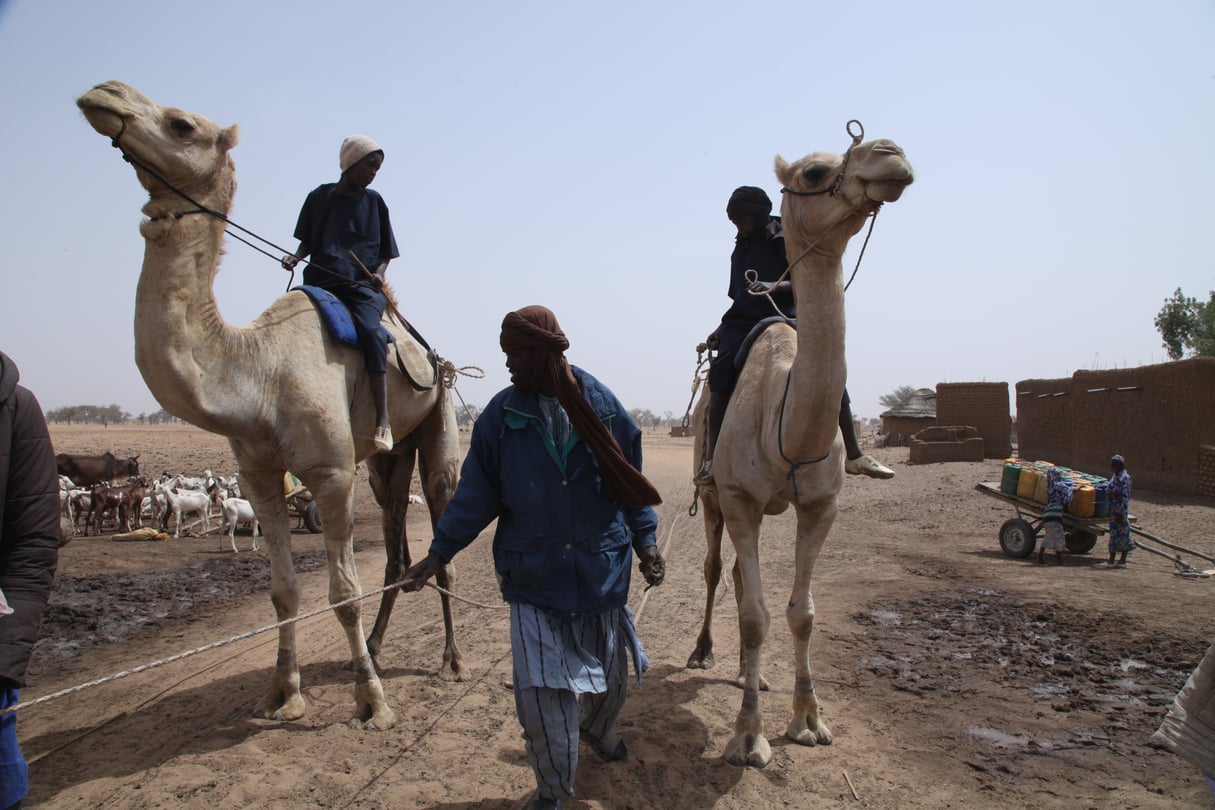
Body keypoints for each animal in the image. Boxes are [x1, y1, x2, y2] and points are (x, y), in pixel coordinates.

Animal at [75, 80, 464, 728]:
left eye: (182, 124)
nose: (105, 95)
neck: (259, 373)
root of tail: (434, 356)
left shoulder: (331, 473)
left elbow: (343, 593)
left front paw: (371, 702)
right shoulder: (257, 474)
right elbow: (284, 591)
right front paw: (284, 693)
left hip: (439, 421)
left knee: (441, 521)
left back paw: (451, 660)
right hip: (385, 461)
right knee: (394, 542)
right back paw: (379, 647)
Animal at [685, 126, 913, 767]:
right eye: (814, 172)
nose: (891, 154)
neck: (784, 425)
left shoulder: (820, 506)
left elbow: (800, 613)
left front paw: (808, 720)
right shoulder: (739, 499)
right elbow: (756, 615)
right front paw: (747, 737)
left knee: (742, 579)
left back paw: (751, 674)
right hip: (714, 496)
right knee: (717, 569)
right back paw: (705, 652)